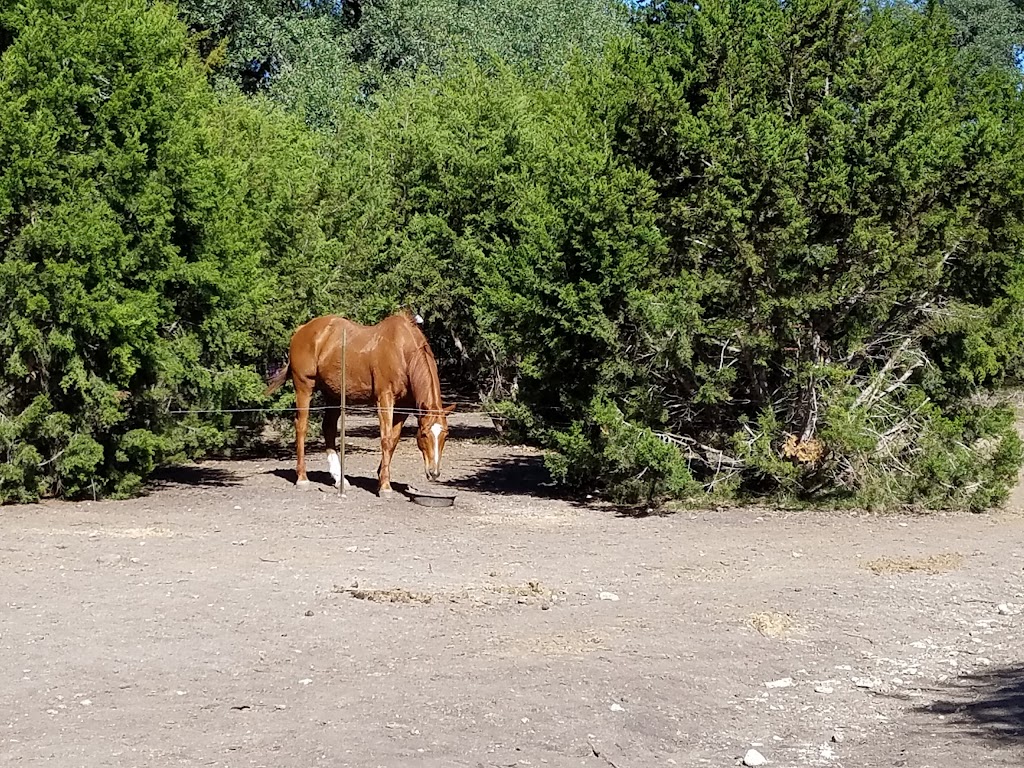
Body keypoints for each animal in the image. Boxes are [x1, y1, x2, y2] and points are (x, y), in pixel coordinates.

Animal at [266, 313, 454, 499]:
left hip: (334, 395)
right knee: (301, 427)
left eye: (445, 435)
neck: (402, 352)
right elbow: (386, 439)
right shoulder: (384, 399)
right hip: (304, 387)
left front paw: (381, 477)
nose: (434, 473)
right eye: (424, 435)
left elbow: (393, 440)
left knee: (328, 428)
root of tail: (302, 330)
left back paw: (339, 479)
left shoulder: (403, 408)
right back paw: (302, 478)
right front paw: (385, 487)